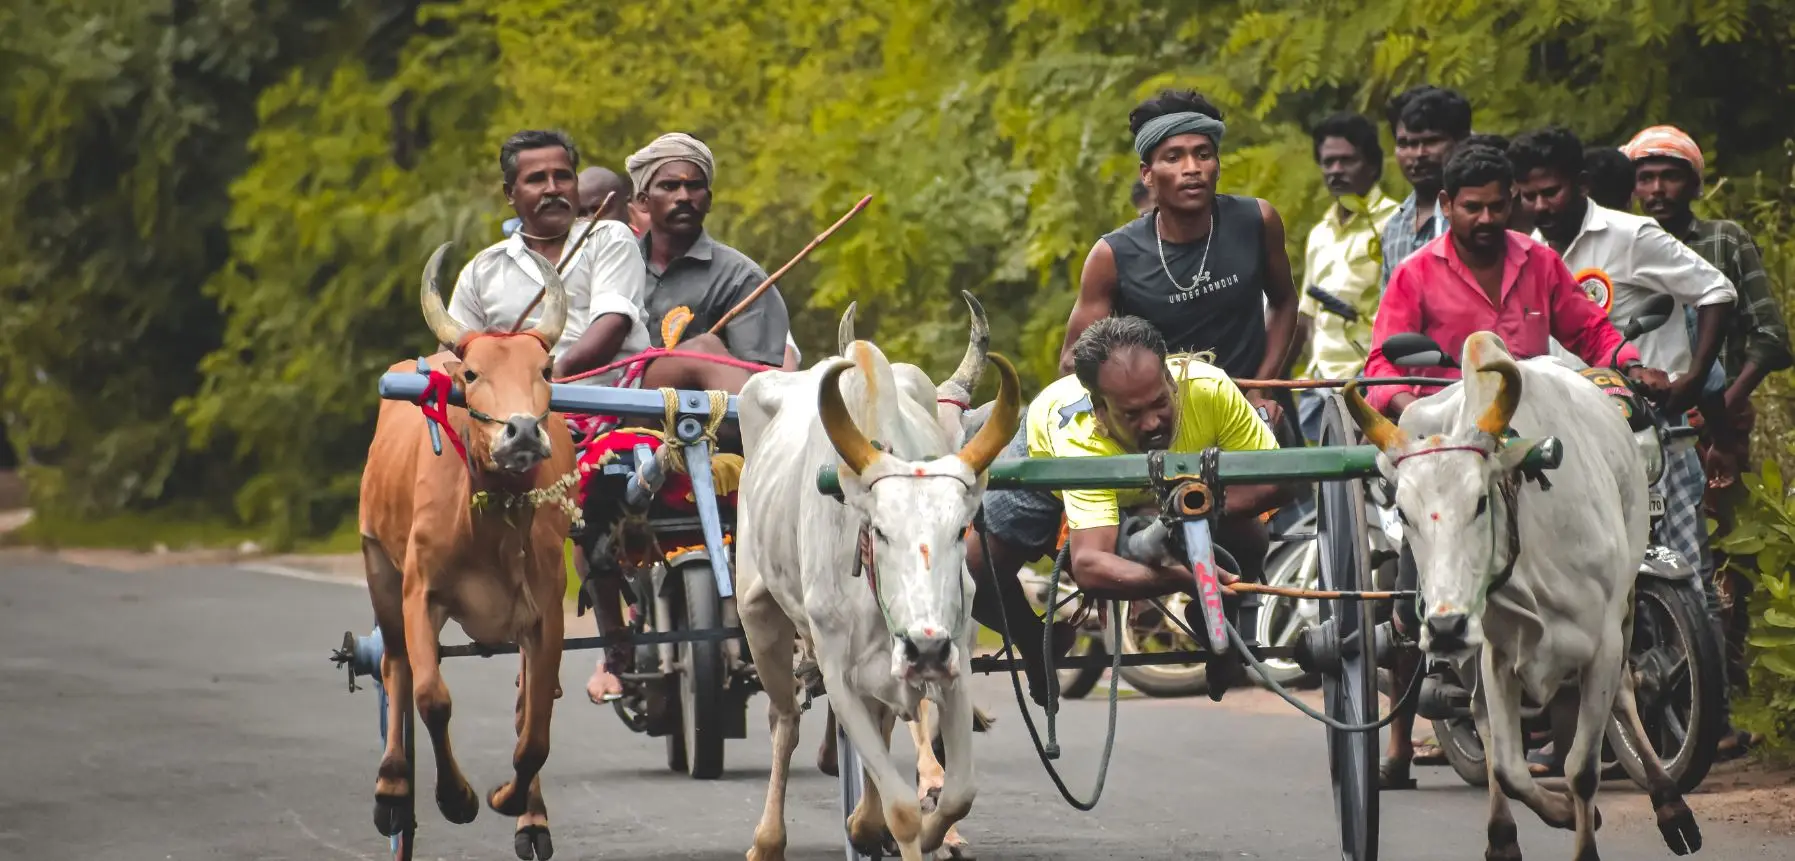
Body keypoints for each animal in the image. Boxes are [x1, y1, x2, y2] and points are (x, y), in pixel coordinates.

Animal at [353, 242, 570, 861]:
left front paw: (511, 802)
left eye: (545, 371)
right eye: (473, 374)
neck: (490, 520)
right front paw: (458, 799)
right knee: (394, 666)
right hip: (378, 567)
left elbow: (535, 729)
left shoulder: (544, 615)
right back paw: (392, 787)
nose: (522, 433)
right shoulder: (419, 594)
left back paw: (531, 818)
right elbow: (432, 697)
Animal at [735, 322, 1019, 861]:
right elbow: (902, 807)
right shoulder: (838, 675)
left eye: (960, 529)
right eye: (880, 531)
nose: (925, 647)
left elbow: (958, 792)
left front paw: (932, 833)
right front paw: (900, 829)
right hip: (758, 616)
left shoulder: (956, 662)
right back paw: (767, 839)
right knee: (784, 719)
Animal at [1349, 331, 1701, 861]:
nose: (1445, 627)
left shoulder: (1602, 646)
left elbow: (1582, 768)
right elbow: (1509, 768)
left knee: (1625, 694)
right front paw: (1558, 815)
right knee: (1479, 719)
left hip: (1623, 607)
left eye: (1479, 501)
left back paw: (1670, 804)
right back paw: (1502, 835)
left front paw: (1588, 837)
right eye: (1404, 513)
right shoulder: (1496, 654)